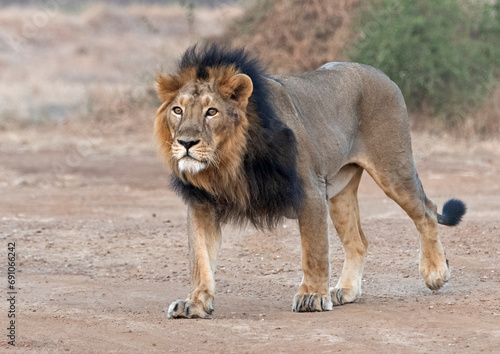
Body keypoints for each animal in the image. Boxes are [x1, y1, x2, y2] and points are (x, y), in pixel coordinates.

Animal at [154, 43, 466, 318]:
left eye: (212, 111)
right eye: (178, 110)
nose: (186, 143)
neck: (228, 161)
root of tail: (382, 74)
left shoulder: (311, 191)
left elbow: (314, 251)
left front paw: (313, 296)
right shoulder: (202, 204)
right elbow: (200, 259)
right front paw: (195, 303)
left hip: (392, 168)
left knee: (426, 211)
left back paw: (436, 272)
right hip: (340, 193)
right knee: (359, 241)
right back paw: (346, 290)